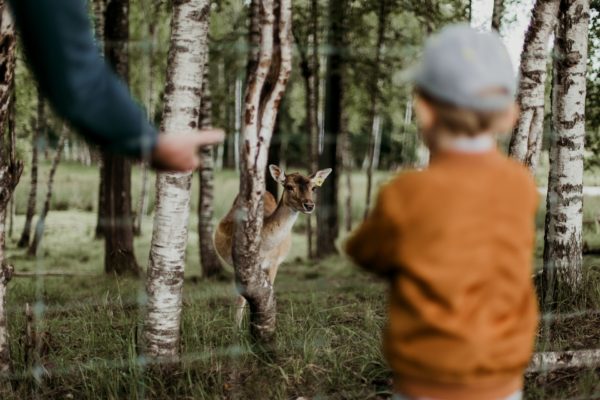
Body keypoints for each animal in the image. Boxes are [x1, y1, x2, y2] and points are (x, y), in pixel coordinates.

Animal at [213, 164, 332, 326]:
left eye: (313, 188)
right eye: (289, 186)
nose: (309, 205)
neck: (264, 247)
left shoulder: (274, 263)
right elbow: (241, 299)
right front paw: (236, 327)